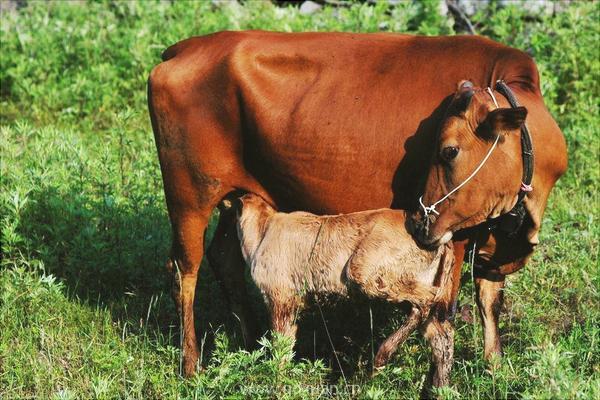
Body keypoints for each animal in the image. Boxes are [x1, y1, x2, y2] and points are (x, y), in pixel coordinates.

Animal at [234, 192, 454, 370]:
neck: (261, 232)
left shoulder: (279, 296)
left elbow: (280, 343)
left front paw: (277, 375)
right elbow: (288, 338)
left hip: (366, 271)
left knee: (428, 299)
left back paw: (382, 355)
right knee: (441, 334)